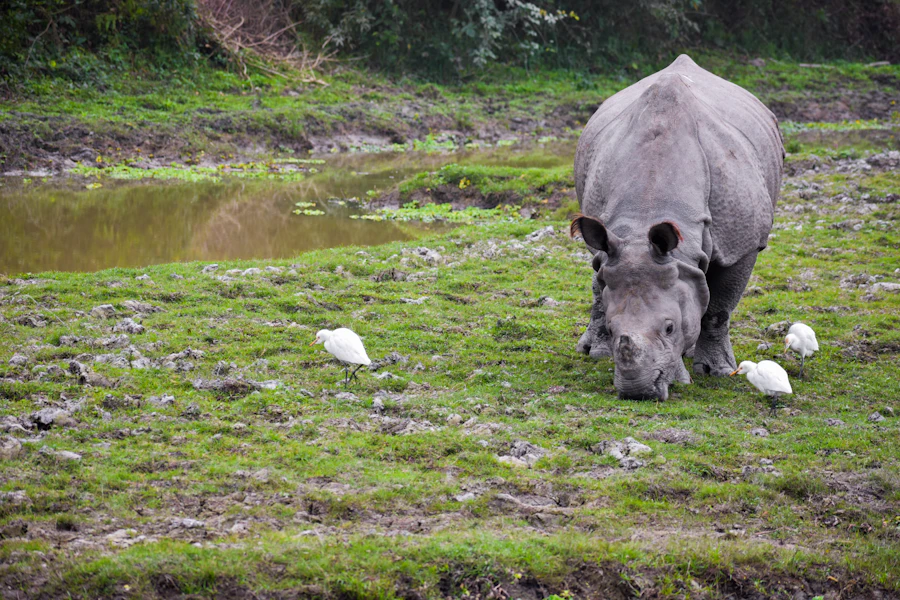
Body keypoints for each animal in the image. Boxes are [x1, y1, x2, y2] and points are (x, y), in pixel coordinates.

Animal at [571, 54, 784, 400]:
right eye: (616, 331)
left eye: (670, 328)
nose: (638, 392)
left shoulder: (742, 244)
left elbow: (718, 309)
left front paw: (716, 371)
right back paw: (594, 352)